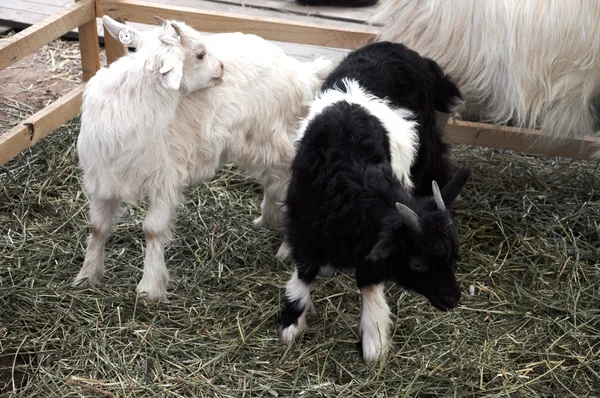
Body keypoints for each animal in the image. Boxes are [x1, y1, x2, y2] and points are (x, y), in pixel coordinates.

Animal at [75, 16, 332, 302]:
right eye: (199, 54)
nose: (221, 67)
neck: (131, 103)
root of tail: (299, 72)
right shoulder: (103, 179)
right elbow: (98, 227)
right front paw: (86, 275)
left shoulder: (164, 178)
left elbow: (152, 229)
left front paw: (149, 287)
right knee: (275, 180)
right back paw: (267, 220)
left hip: (272, 136)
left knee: (289, 178)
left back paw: (288, 247)